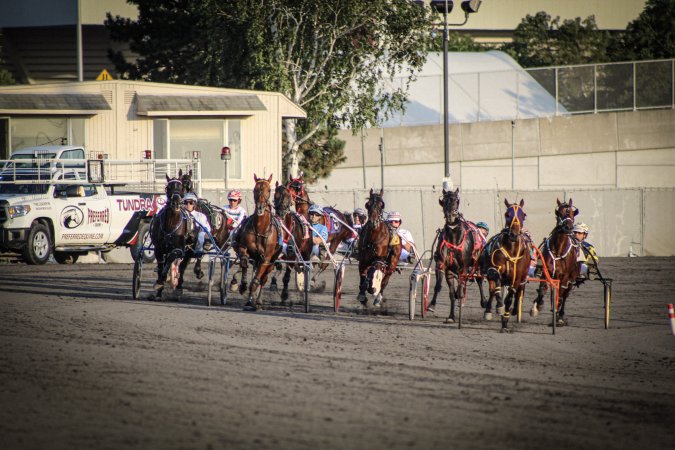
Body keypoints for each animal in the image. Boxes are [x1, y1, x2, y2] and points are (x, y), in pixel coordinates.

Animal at [232, 174, 282, 312]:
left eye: (269, 190)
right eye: (255, 189)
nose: (260, 207)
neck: (260, 229)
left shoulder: (266, 258)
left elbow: (256, 280)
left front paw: (254, 301)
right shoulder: (244, 248)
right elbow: (244, 262)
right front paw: (243, 286)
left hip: (271, 261)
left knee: (263, 278)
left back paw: (257, 300)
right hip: (255, 259)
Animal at [430, 189, 488, 324]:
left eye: (456, 200)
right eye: (444, 200)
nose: (450, 216)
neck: (454, 238)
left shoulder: (464, 266)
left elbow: (461, 287)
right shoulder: (445, 266)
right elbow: (446, 290)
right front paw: (450, 315)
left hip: (476, 264)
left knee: (479, 280)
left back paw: (484, 302)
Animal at [484, 199, 536, 332]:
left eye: (524, 215)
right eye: (507, 214)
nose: (513, 235)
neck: (512, 250)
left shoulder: (517, 277)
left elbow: (510, 297)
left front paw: (505, 321)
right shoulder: (495, 268)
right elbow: (496, 284)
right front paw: (499, 306)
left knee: (518, 292)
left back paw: (515, 310)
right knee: (492, 289)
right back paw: (488, 311)